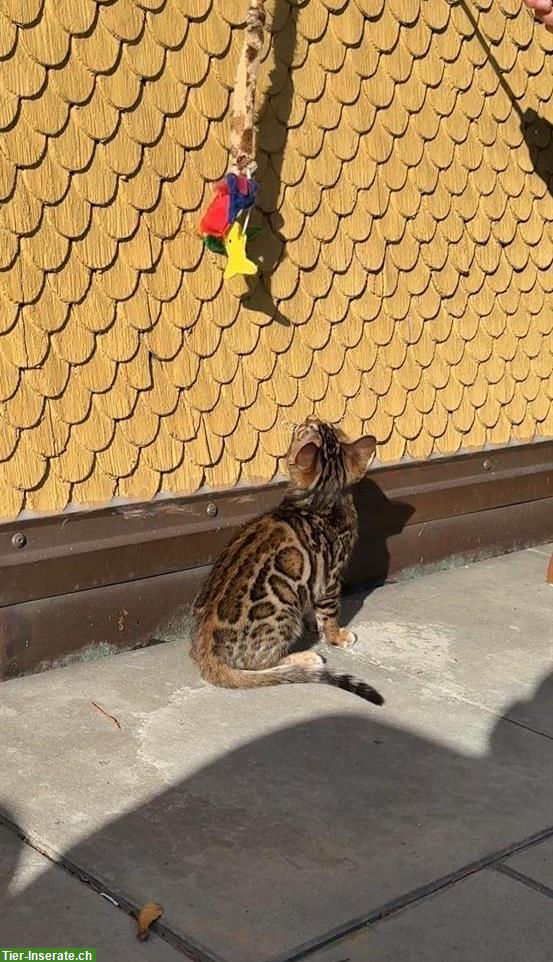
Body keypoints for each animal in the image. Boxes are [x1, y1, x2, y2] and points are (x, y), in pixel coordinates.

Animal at [192, 416, 382, 700]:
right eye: (307, 428)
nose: (311, 417)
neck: (319, 500)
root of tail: (203, 652)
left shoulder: (319, 579)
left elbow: (318, 608)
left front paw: (315, 623)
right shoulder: (330, 577)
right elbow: (330, 613)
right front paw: (335, 636)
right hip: (285, 610)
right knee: (263, 665)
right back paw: (306, 658)